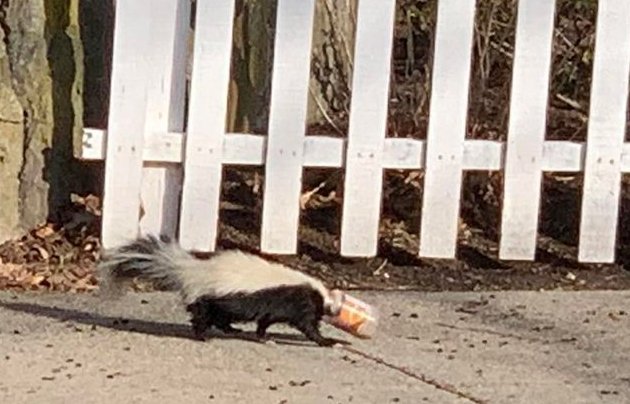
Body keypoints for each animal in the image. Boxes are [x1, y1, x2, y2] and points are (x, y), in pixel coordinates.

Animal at [98, 237, 346, 348]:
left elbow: (265, 321)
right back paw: (203, 336)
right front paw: (327, 340)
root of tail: (192, 271)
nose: (336, 316)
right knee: (202, 317)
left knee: (220, 319)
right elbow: (305, 325)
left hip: (222, 303)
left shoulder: (275, 306)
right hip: (209, 298)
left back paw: (232, 329)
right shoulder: (297, 302)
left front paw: (263, 336)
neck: (318, 293)